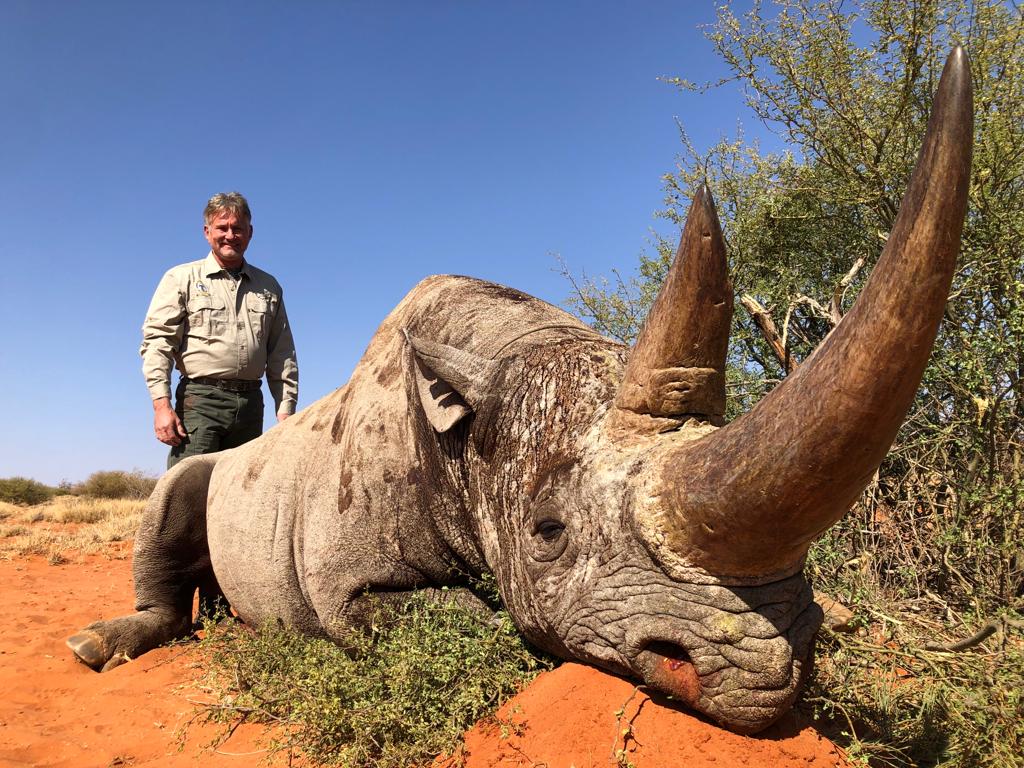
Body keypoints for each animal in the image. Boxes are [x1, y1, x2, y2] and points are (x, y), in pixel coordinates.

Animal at [68, 49, 972, 734]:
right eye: (547, 534)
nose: (769, 678)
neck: (480, 404)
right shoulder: (347, 583)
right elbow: (485, 619)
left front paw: (842, 621)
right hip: (218, 467)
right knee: (179, 484)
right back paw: (96, 648)